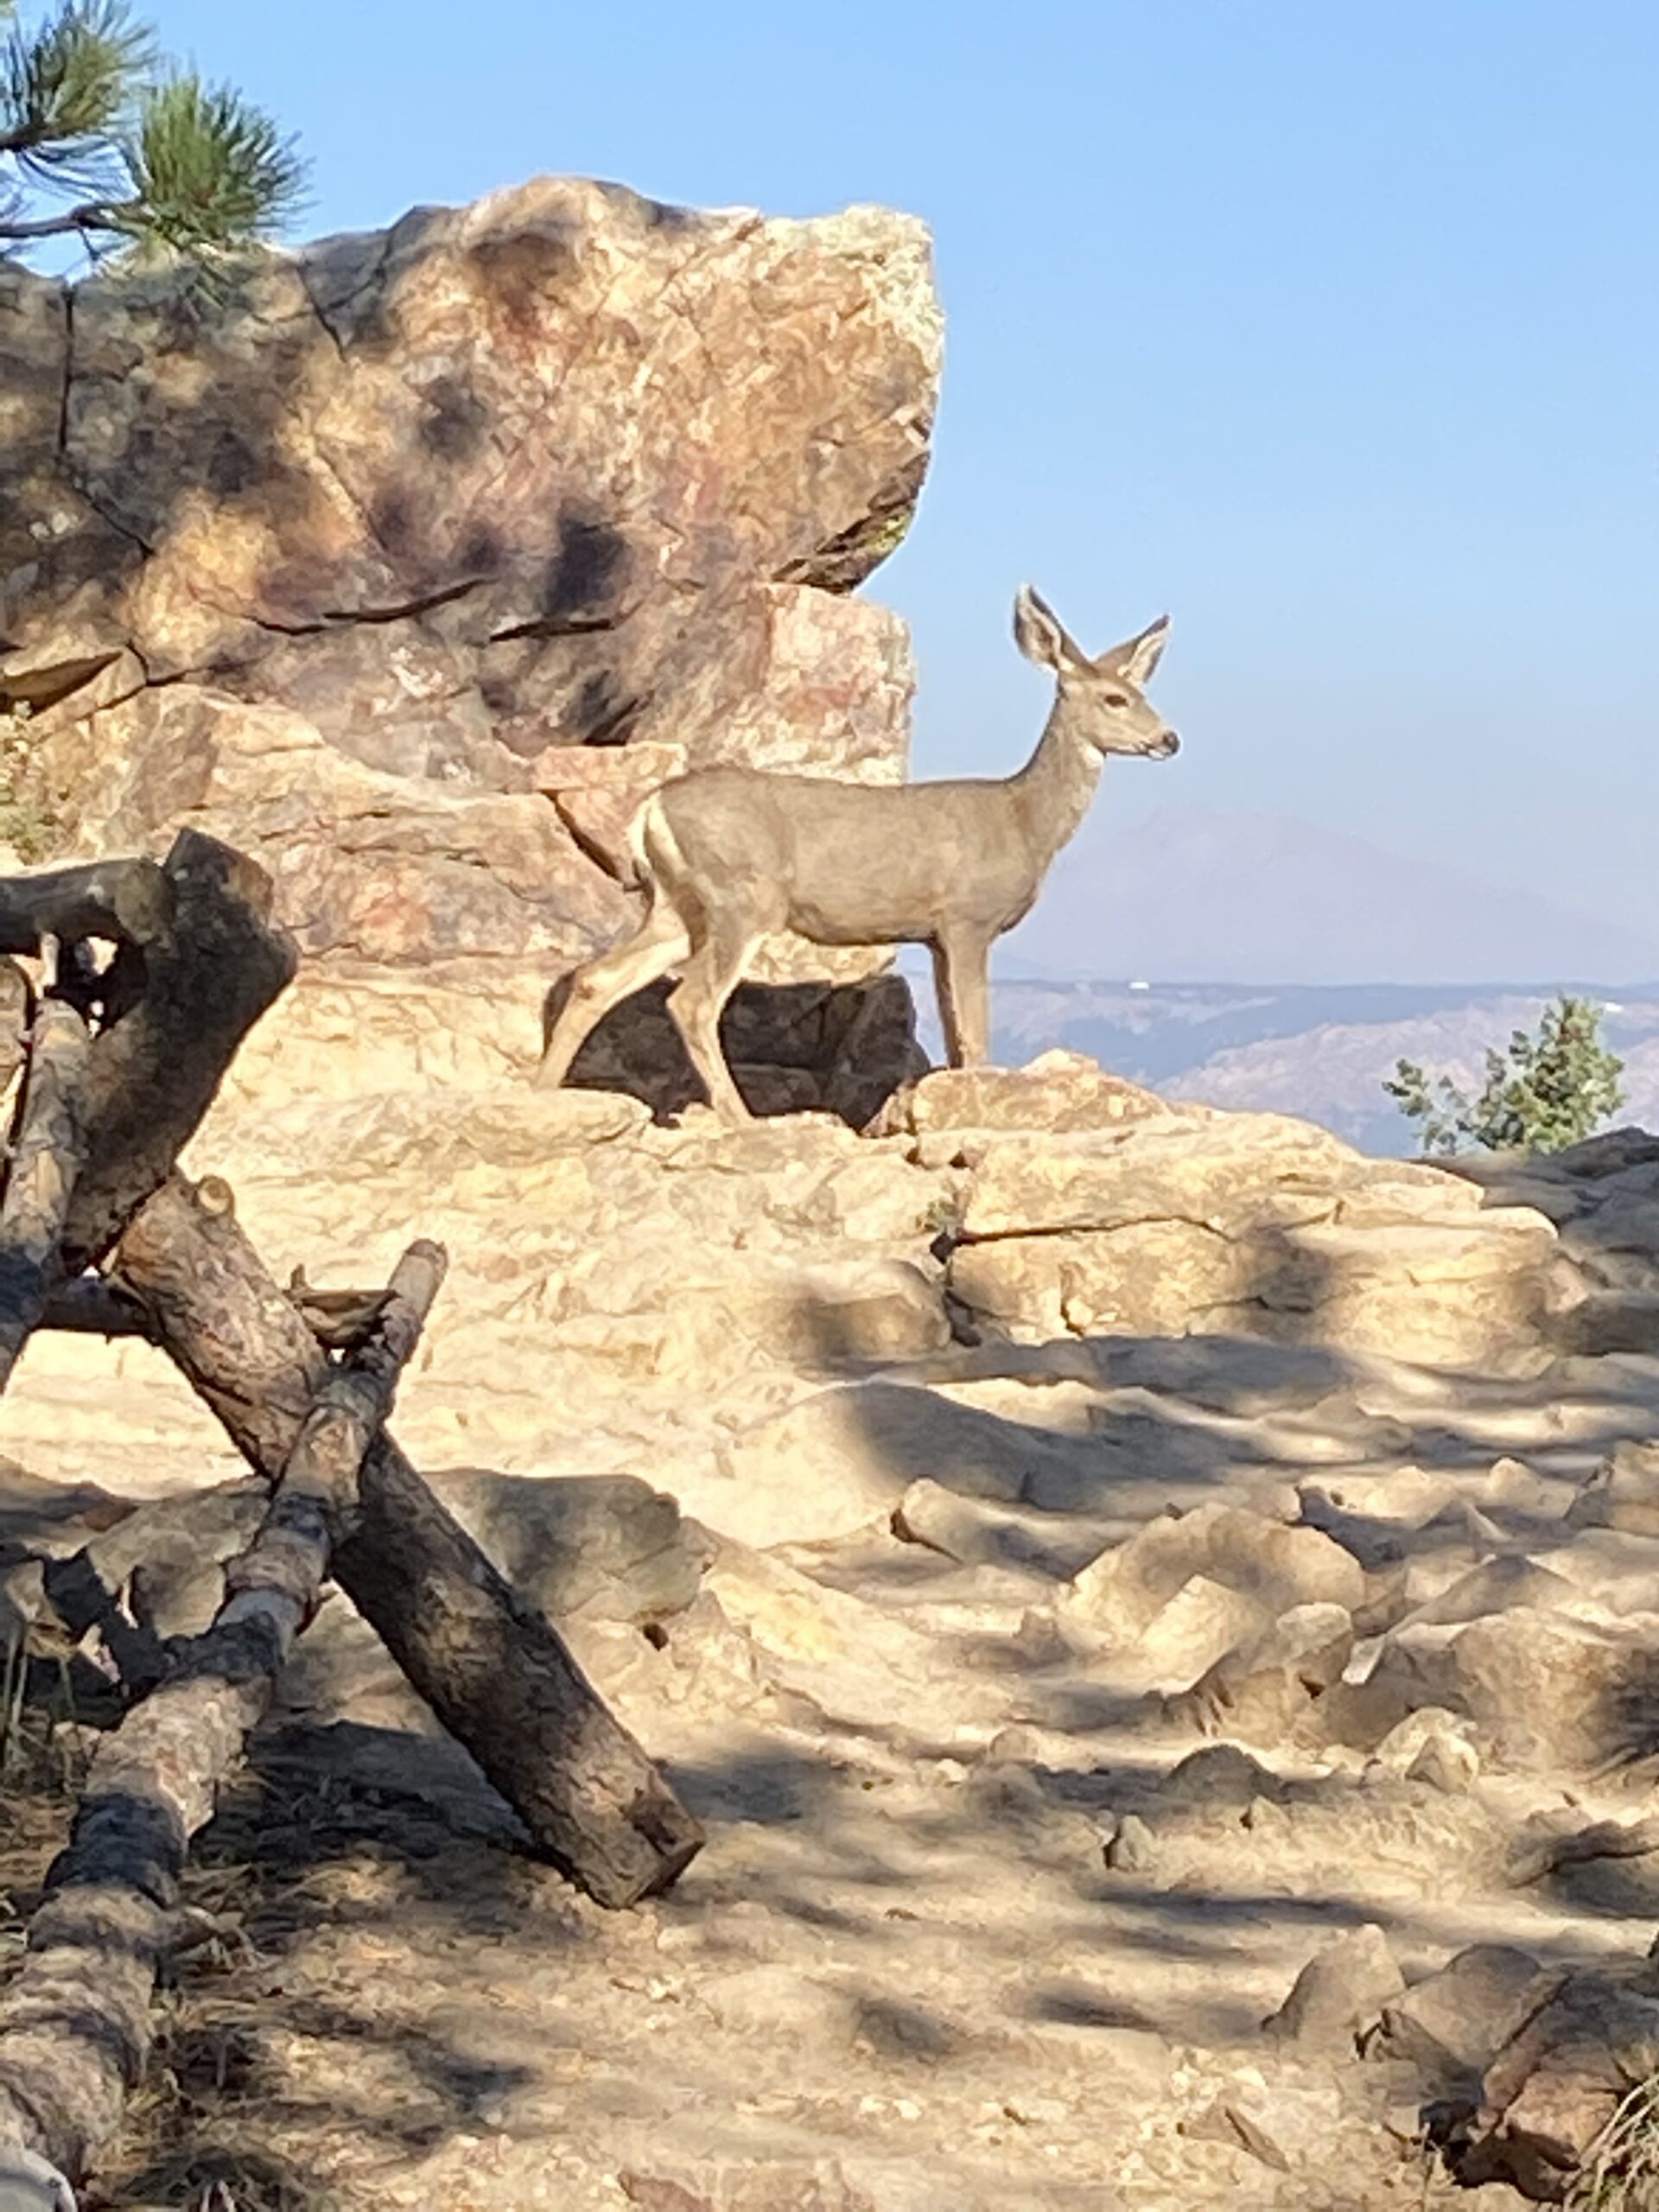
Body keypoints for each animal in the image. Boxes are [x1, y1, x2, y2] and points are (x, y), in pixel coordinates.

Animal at [535, 588, 1185, 1123]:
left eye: (1143, 693)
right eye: (1115, 698)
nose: (1170, 738)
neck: (1023, 821)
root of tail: (652, 807)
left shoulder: (934, 935)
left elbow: (956, 1040)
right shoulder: (967, 918)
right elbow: (975, 1038)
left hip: (678, 905)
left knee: (597, 978)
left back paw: (544, 1088)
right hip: (742, 897)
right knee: (691, 1001)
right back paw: (743, 1120)